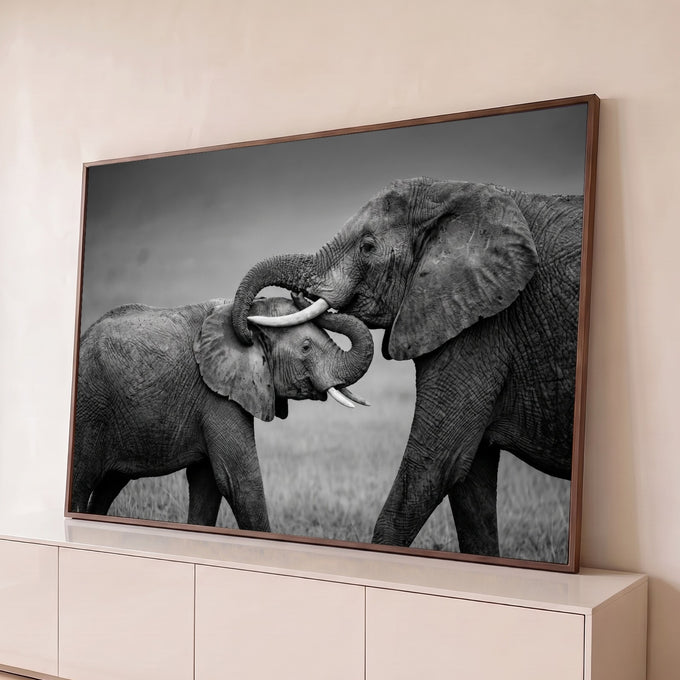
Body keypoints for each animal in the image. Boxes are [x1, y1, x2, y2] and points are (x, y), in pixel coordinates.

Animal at [70, 296, 374, 532]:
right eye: (306, 347)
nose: (301, 294)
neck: (249, 315)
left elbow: (208, 484)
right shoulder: (216, 394)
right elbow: (238, 481)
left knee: (107, 487)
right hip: (90, 409)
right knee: (81, 481)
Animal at [231, 178, 585, 558]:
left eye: (367, 247)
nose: (299, 296)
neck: (452, 194)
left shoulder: (484, 326)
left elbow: (439, 461)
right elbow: (470, 476)